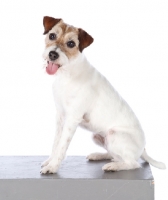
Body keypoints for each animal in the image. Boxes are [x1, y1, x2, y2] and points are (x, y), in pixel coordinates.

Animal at [40, 16, 166, 173]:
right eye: (52, 36)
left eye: (71, 43)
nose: (53, 54)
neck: (68, 73)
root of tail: (143, 149)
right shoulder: (60, 116)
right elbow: (56, 143)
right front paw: (49, 161)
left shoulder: (72, 118)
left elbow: (62, 146)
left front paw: (53, 167)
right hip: (97, 136)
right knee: (115, 155)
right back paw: (99, 156)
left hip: (114, 135)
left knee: (132, 163)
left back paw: (113, 166)